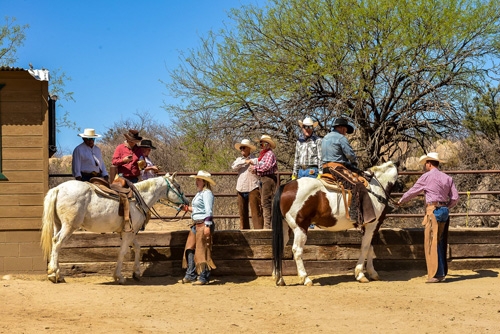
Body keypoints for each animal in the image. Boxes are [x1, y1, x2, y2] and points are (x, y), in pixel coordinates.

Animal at [40, 174, 188, 284]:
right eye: (178, 186)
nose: (186, 202)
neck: (139, 198)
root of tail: (58, 189)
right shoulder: (128, 233)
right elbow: (122, 252)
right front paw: (119, 277)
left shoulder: (130, 232)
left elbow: (138, 248)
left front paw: (136, 273)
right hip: (69, 226)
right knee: (57, 243)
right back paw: (54, 274)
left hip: (58, 224)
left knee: (54, 243)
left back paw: (58, 274)